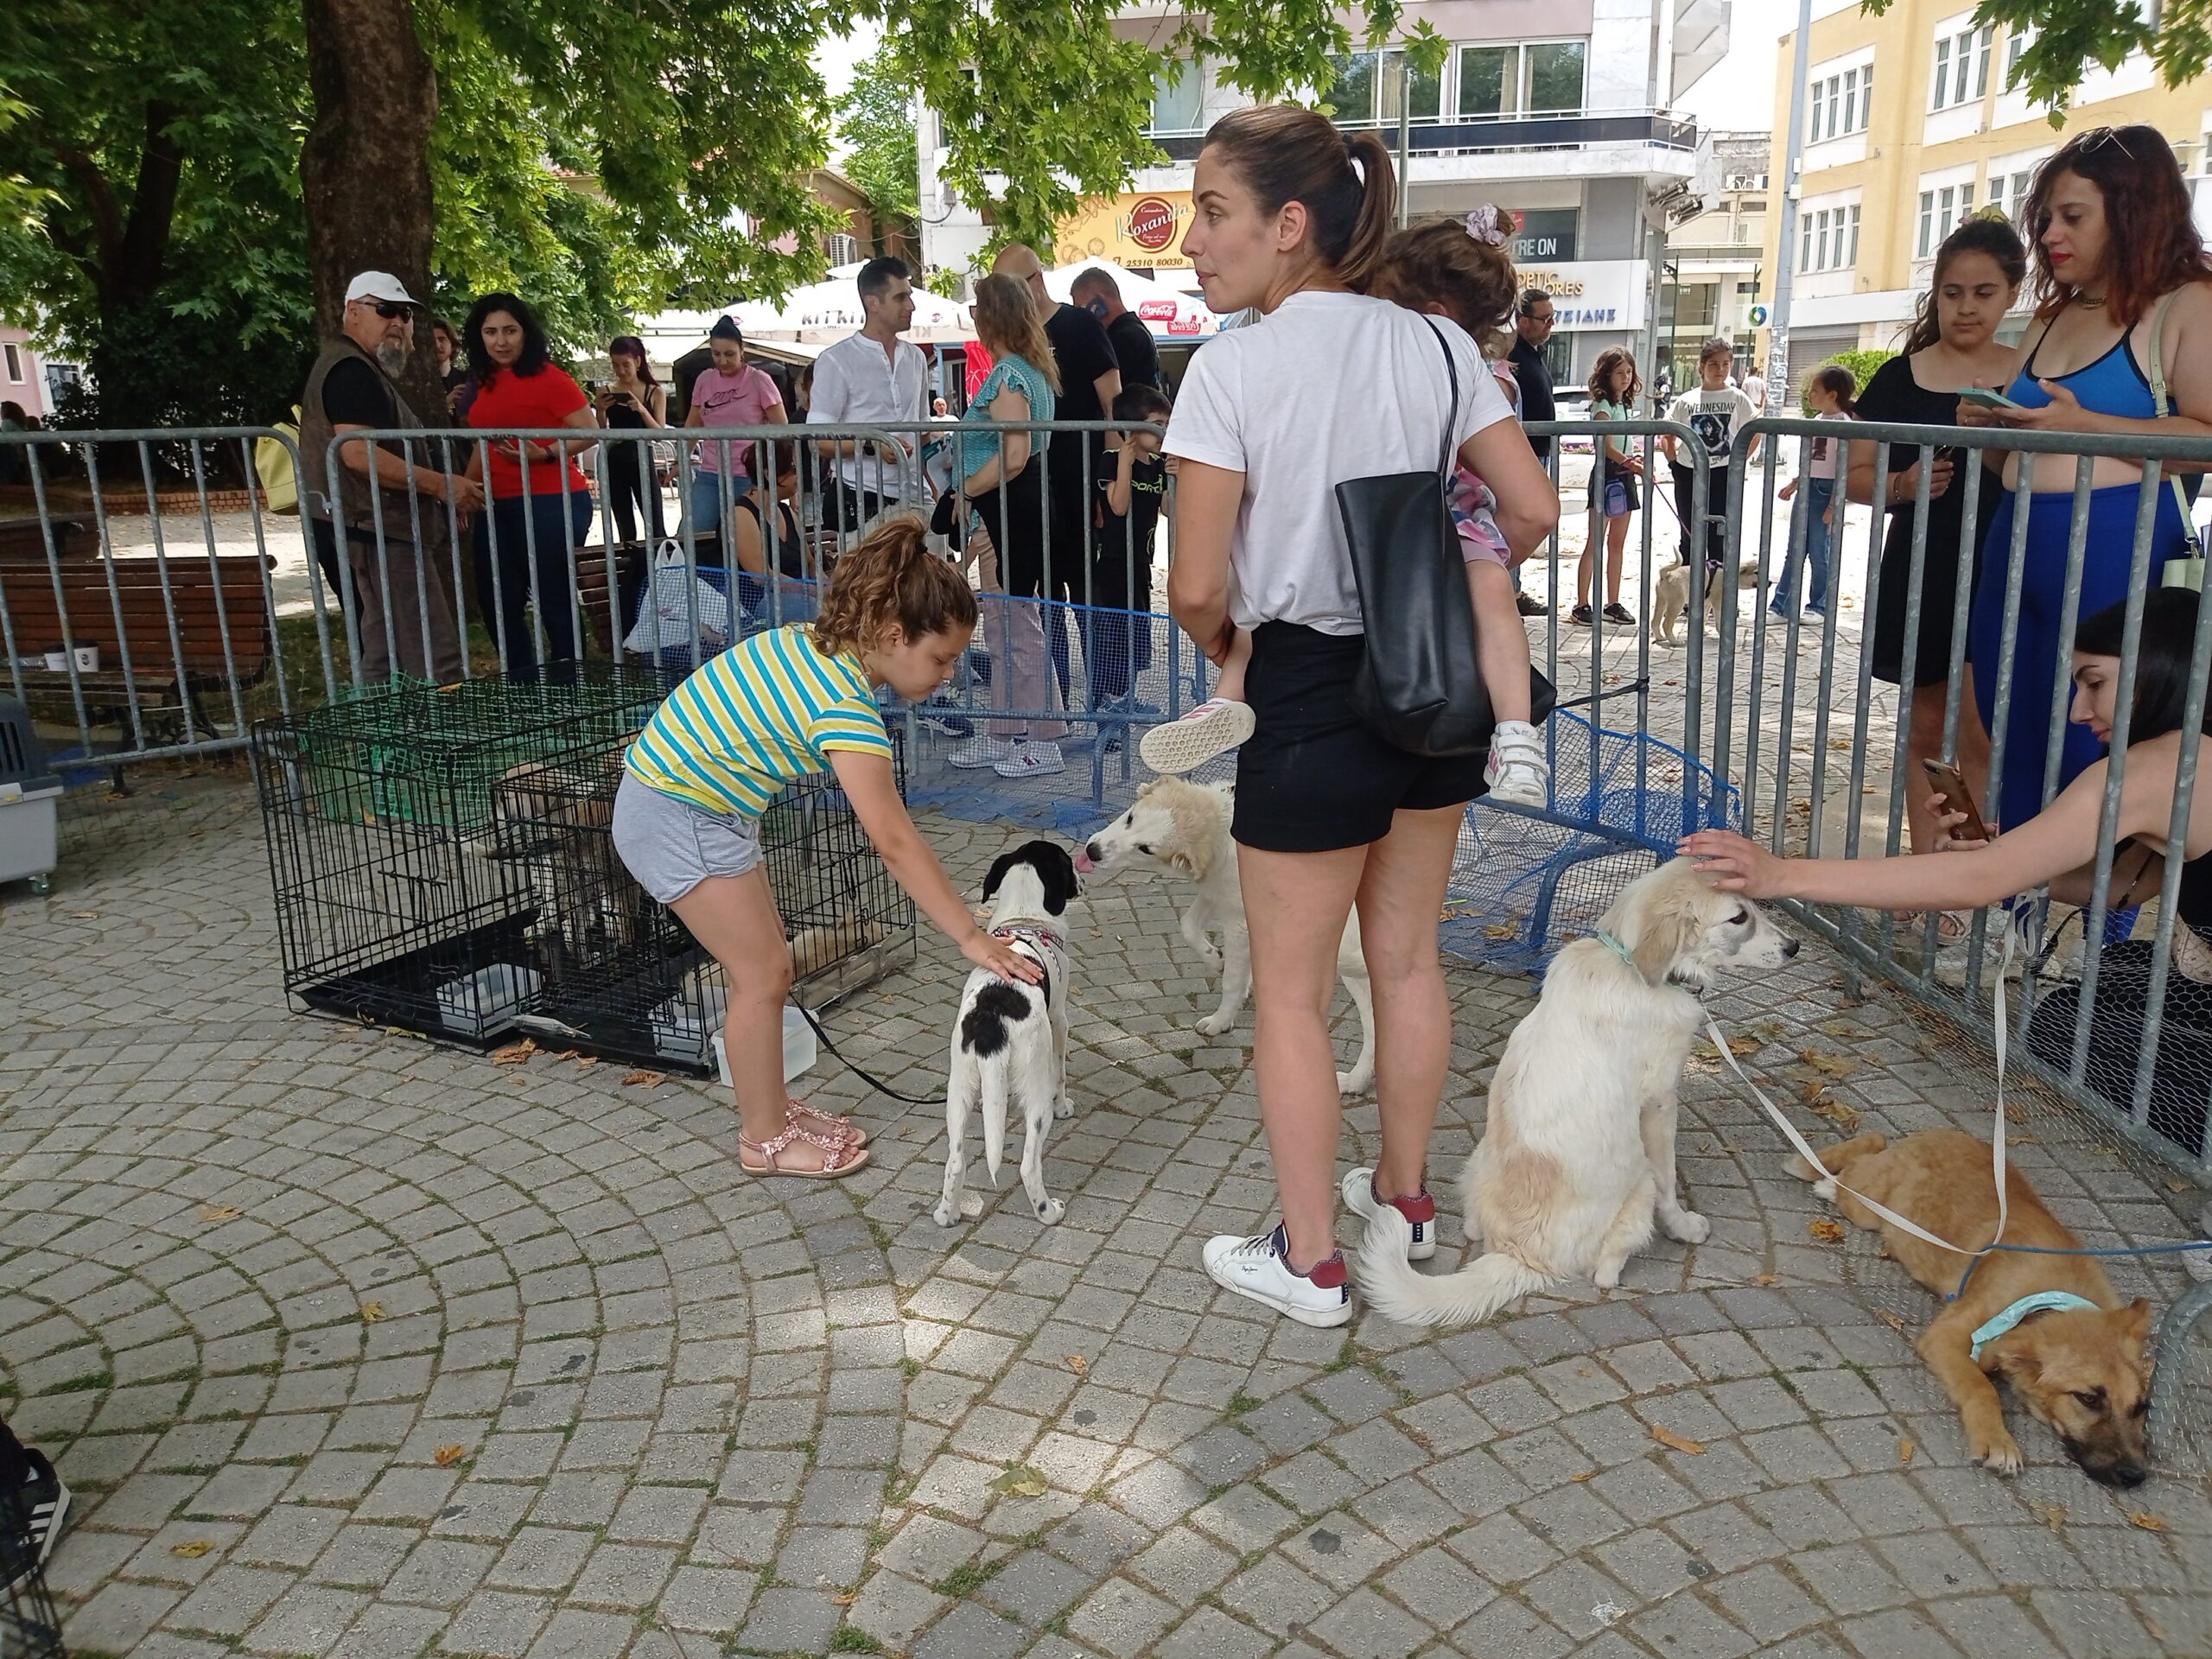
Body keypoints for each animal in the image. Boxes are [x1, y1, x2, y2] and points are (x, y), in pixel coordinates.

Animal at [933, 844, 1079, 1238]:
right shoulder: (1059, 1018)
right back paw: (1049, 1212)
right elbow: (1062, 1072)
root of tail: (990, 1019)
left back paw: (947, 1214)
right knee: (1028, 1164)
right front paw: (1065, 1107)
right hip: (1035, 1090)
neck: (1024, 919)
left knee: (955, 1161)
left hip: (959, 1088)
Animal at [1079, 783, 1371, 1096]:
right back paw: (1356, 1081)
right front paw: (1215, 959)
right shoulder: (1218, 895)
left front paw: (1220, 1020)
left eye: (1146, 849)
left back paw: (1355, 1080)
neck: (1224, 833)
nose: (1092, 851)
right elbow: (1188, 926)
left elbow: (1231, 981)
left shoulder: (1239, 923)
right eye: (1131, 817)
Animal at [1344, 862, 1796, 1336]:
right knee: (1605, 1270)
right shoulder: (1659, 1102)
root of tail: (1519, 1253)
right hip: (1637, 1186)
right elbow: (1669, 1179)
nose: (1794, 947)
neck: (1626, 962)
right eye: (1738, 918)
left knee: (1472, 1231)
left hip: (1477, 1162)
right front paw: (1684, 1226)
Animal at [1796, 1141, 2141, 1486]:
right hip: (1866, 1210)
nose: (2136, 1476)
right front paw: (1997, 1442)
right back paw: (1829, 1181)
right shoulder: (1946, 1337)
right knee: (1867, 1151)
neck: (2053, 1296)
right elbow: (1982, 1387)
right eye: (2088, 1399)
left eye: (2140, 1407)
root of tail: (1929, 1136)